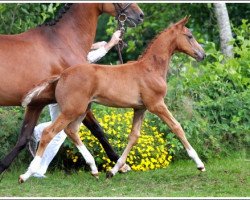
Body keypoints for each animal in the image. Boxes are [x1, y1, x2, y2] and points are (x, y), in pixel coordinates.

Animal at [0, 2, 144, 175]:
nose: (140, 15)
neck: (63, 41)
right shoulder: (79, 101)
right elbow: (98, 130)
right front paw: (120, 164)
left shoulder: (36, 103)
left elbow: (24, 137)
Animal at [20, 16, 205, 183]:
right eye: (189, 36)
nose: (202, 55)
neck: (150, 68)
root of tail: (62, 75)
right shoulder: (156, 104)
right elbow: (177, 127)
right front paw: (200, 164)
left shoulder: (140, 108)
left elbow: (133, 136)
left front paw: (113, 171)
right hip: (72, 110)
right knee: (48, 132)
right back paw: (26, 174)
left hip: (82, 110)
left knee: (71, 131)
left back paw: (94, 169)